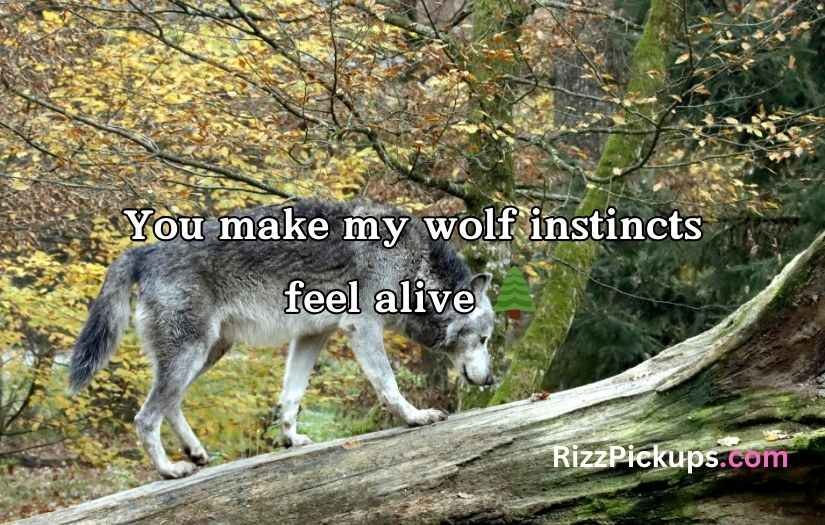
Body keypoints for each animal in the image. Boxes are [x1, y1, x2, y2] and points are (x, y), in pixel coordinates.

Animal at [69, 199, 495, 479]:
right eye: (485, 340)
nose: (491, 380)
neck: (416, 268)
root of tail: (145, 251)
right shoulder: (362, 327)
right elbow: (387, 384)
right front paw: (415, 417)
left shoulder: (311, 336)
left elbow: (291, 396)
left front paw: (291, 438)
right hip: (191, 353)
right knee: (145, 417)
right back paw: (170, 470)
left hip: (208, 352)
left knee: (169, 403)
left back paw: (195, 452)